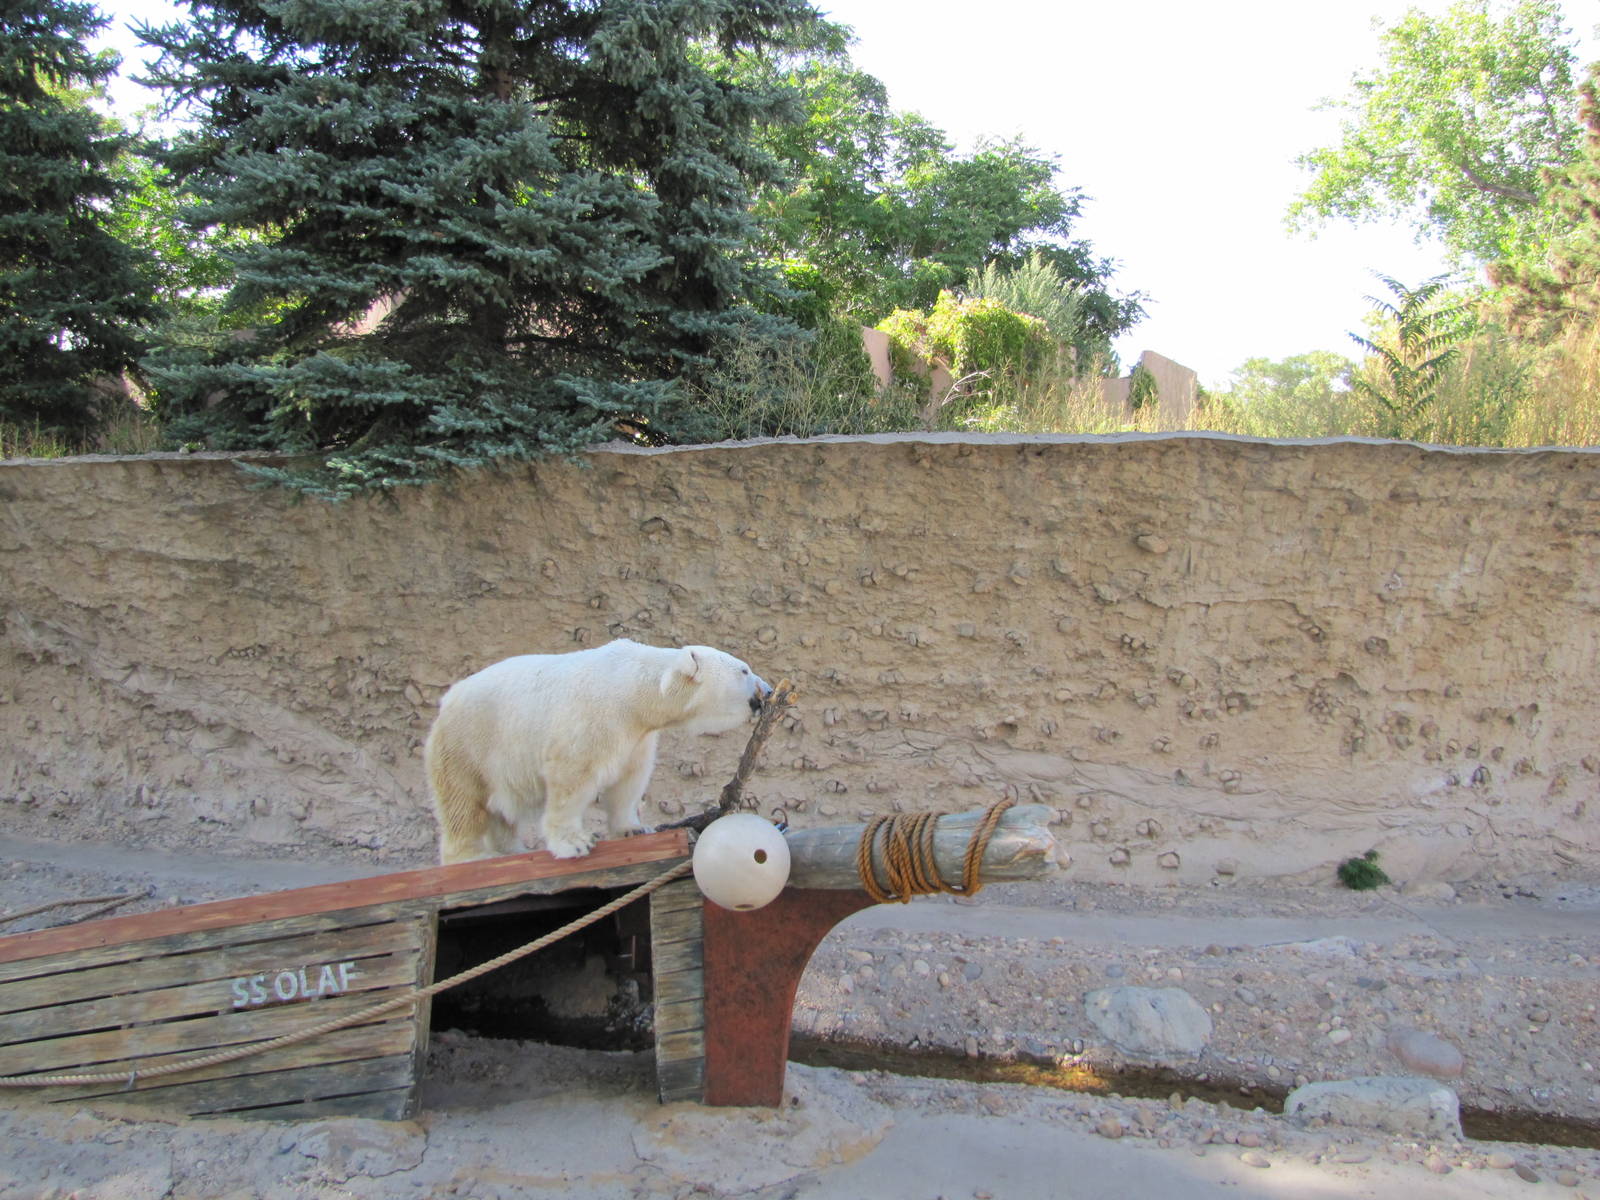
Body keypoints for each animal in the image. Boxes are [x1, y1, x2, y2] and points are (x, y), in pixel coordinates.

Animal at [425, 638, 771, 863]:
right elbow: (572, 778)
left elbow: (629, 781)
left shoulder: (637, 737)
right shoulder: (593, 718)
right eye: (744, 670)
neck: (632, 690)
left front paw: (634, 829)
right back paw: (472, 855)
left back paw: (511, 850)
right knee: (463, 803)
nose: (767, 690)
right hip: (468, 744)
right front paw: (574, 843)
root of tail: (445, 703)